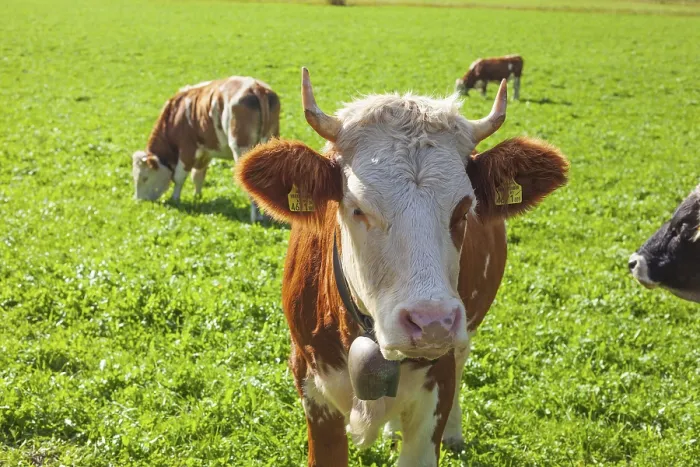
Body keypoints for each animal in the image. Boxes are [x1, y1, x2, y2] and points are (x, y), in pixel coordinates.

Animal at [131, 76, 280, 223]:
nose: (139, 200)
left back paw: (256, 217)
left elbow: (179, 177)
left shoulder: (187, 149)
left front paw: (175, 199)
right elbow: (198, 176)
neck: (175, 115)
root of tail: (256, 87)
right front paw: (197, 197)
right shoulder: (205, 152)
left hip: (241, 148)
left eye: (144, 178)